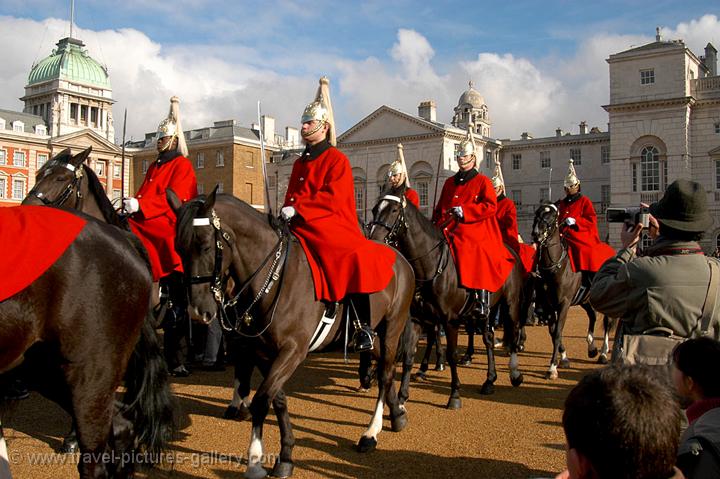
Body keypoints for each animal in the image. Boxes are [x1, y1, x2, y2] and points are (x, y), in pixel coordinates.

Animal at [169, 189, 414, 478]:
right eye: (178, 248)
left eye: (206, 245)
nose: (198, 312)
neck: (272, 278)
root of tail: (401, 258)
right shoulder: (263, 352)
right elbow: (278, 400)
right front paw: (285, 454)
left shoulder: (292, 351)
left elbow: (262, 400)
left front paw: (255, 460)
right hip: (373, 336)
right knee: (384, 367)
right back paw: (397, 414)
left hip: (392, 328)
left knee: (386, 373)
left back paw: (370, 434)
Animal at [368, 185, 524, 408]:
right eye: (374, 209)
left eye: (394, 210)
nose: (374, 241)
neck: (430, 265)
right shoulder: (416, 319)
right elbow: (408, 355)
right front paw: (402, 397)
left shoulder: (450, 320)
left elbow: (452, 354)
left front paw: (454, 395)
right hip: (486, 312)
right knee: (488, 339)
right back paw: (489, 380)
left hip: (511, 304)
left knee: (514, 330)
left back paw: (514, 373)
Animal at [528, 202, 612, 378]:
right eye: (537, 213)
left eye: (552, 216)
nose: (536, 235)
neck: (554, 267)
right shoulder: (548, 306)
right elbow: (553, 332)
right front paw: (564, 358)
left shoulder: (563, 304)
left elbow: (558, 332)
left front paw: (552, 368)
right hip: (585, 300)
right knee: (593, 315)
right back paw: (592, 347)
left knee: (607, 323)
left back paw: (603, 353)